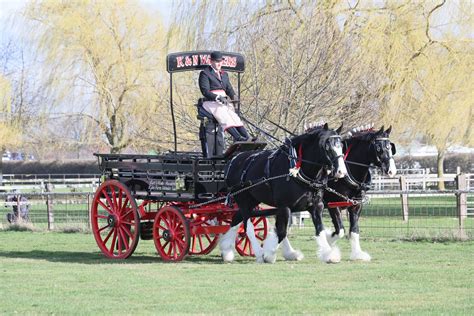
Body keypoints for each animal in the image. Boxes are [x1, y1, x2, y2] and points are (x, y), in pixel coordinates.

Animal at [220, 123, 346, 264]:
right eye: (327, 146)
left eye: (341, 145)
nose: (341, 172)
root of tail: (233, 160)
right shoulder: (284, 206)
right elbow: (281, 232)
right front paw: (268, 254)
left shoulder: (315, 206)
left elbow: (320, 230)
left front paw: (329, 254)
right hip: (243, 200)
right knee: (248, 226)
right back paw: (258, 253)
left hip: (252, 200)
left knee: (236, 218)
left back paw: (227, 250)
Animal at [284, 125, 398, 262]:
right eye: (379, 147)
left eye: (390, 147)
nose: (392, 171)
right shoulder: (334, 205)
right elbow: (340, 231)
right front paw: (328, 241)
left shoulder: (356, 205)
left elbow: (354, 230)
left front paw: (357, 254)